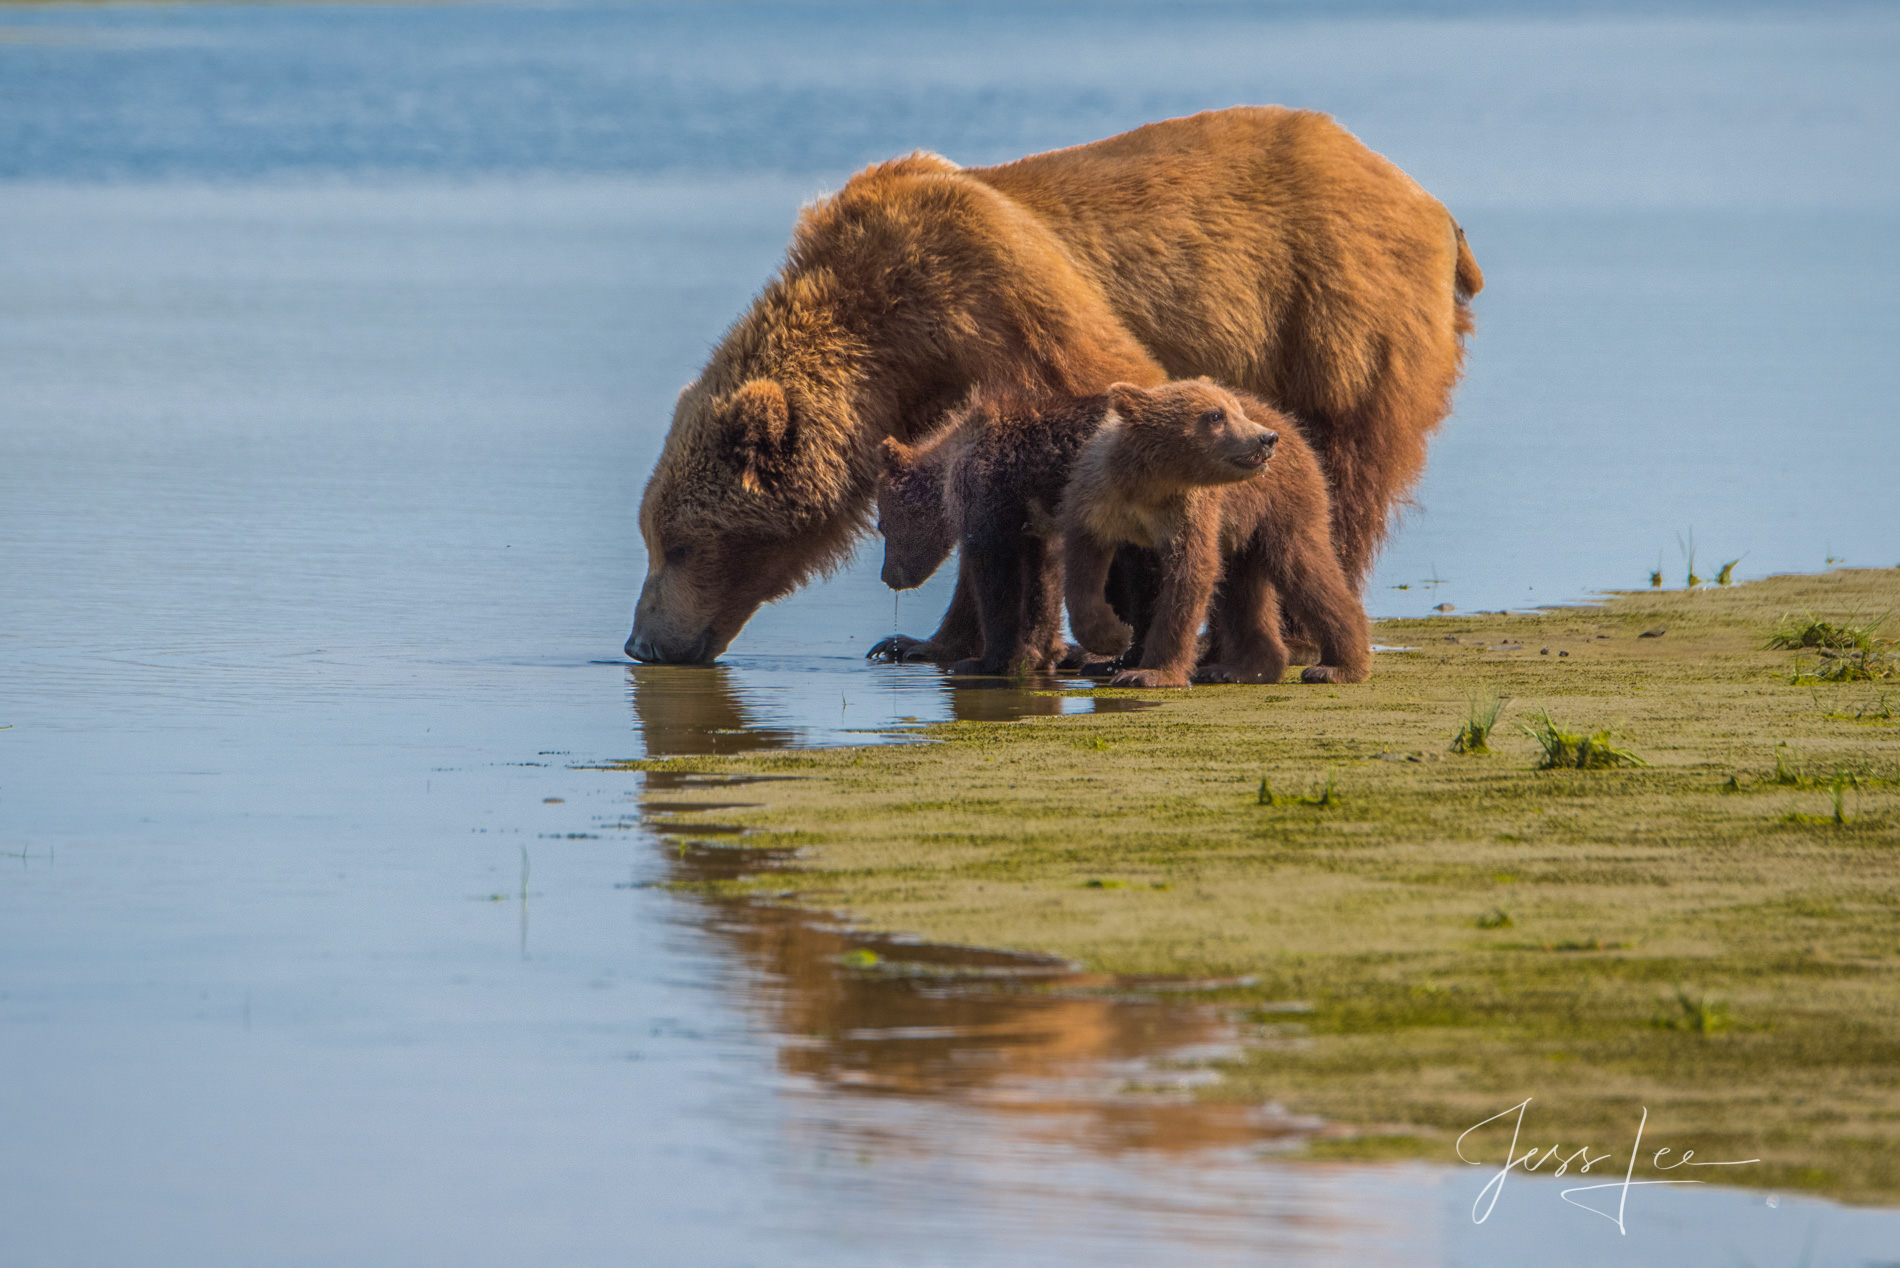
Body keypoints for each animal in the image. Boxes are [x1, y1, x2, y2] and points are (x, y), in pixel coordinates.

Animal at [630, 107, 1474, 665]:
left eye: (681, 544)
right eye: (653, 536)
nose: (641, 643)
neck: (891, 340)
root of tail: (1428, 200)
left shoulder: (998, 289)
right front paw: (918, 641)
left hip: (1336, 315)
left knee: (1345, 474)